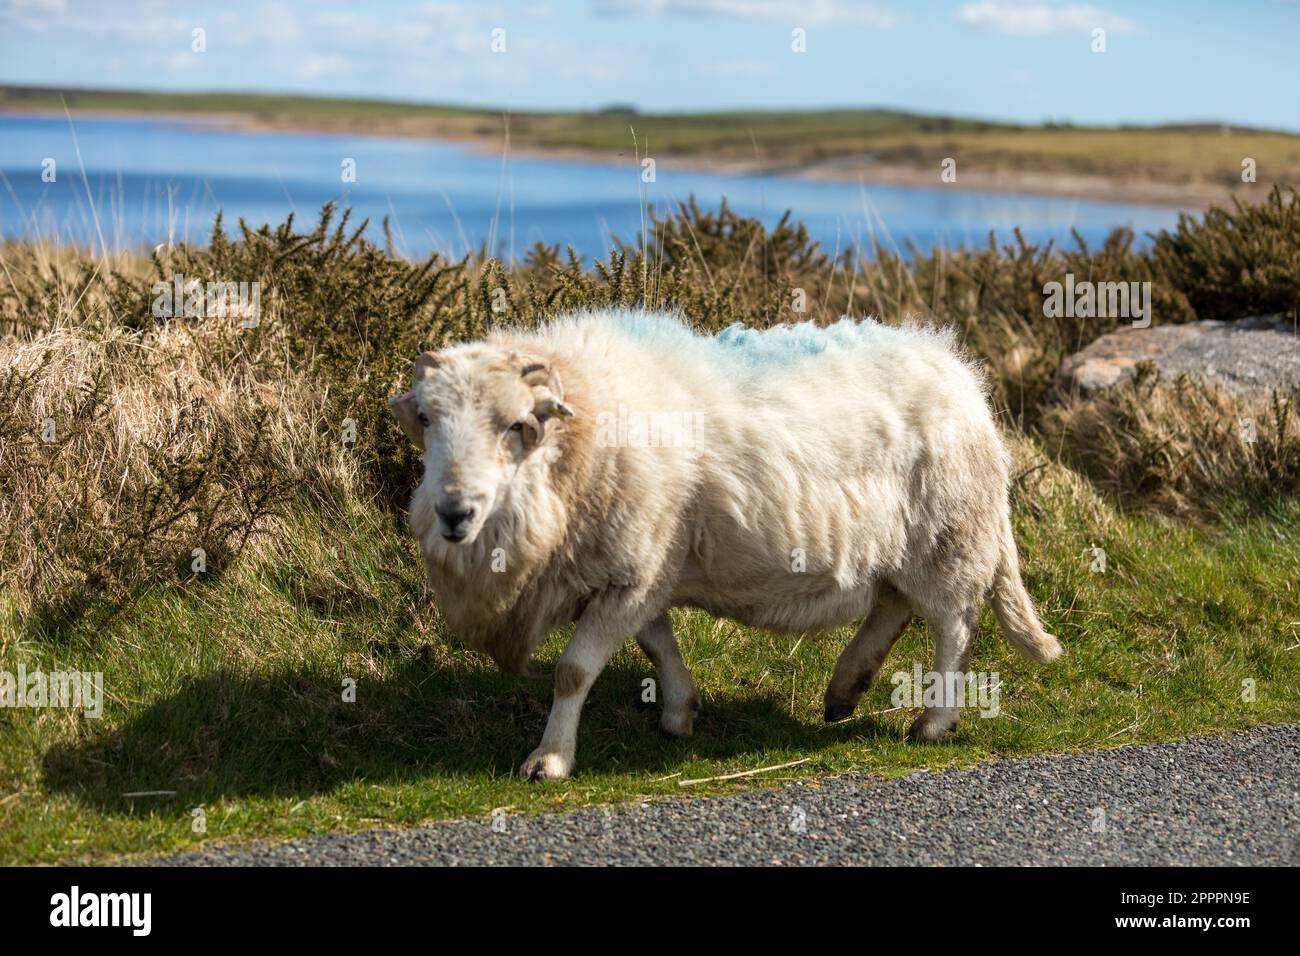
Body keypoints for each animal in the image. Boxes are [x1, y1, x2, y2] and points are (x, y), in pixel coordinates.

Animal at [390, 310, 1060, 780]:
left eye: (518, 425)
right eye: (426, 420)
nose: (454, 513)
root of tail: (960, 374)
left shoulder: (637, 565)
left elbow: (573, 670)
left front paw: (549, 760)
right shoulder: (645, 567)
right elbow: (656, 642)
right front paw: (678, 712)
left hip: (949, 535)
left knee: (953, 626)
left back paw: (933, 721)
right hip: (903, 545)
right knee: (894, 607)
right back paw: (845, 688)